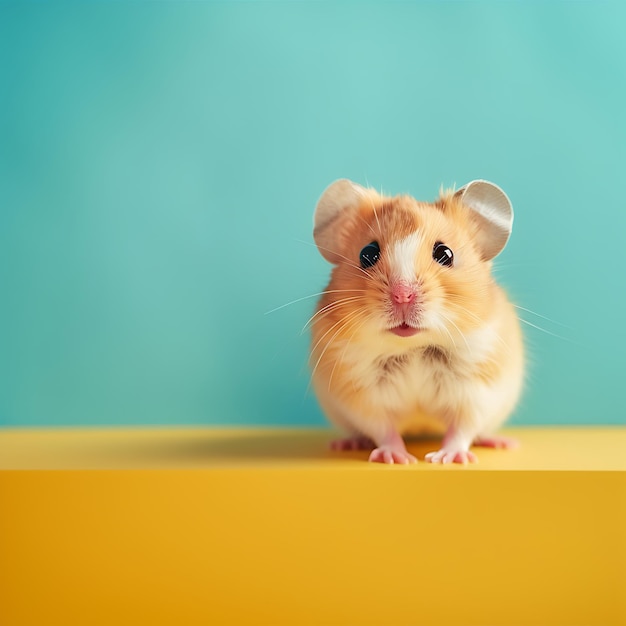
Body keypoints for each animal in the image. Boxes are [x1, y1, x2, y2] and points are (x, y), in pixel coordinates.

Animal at [310, 178, 520, 460]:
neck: (413, 348)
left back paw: (501, 442)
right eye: (367, 253)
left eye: (445, 254)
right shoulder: (362, 396)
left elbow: (463, 428)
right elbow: (383, 429)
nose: (402, 294)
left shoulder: (478, 391)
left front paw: (448, 459)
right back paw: (348, 443)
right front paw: (395, 458)